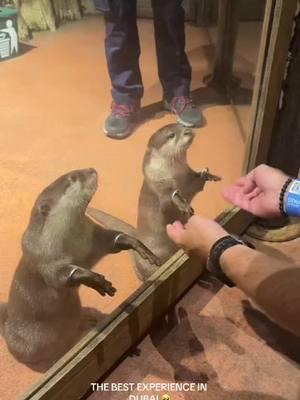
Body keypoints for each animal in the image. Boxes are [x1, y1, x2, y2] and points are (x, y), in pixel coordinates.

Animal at [0, 166, 159, 368]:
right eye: (73, 177)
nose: (91, 169)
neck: (69, 239)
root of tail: (7, 322)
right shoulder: (42, 255)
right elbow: (58, 276)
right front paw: (95, 280)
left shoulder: (91, 237)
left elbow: (110, 241)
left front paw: (135, 243)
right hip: (28, 345)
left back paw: (92, 319)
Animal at [86, 124, 220, 282]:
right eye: (171, 135)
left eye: (183, 125)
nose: (188, 131)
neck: (175, 173)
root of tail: (138, 235)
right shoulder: (159, 185)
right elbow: (169, 197)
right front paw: (183, 204)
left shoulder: (188, 176)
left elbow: (197, 180)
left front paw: (208, 174)